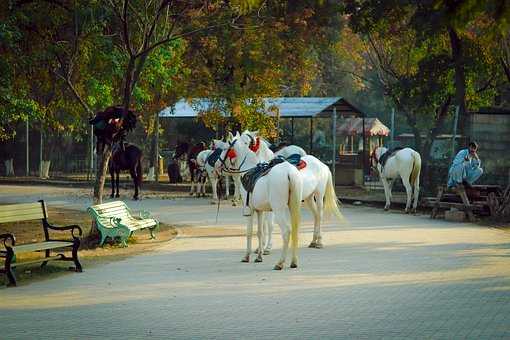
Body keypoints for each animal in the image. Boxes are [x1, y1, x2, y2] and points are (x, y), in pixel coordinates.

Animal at [223, 131, 302, 270]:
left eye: (227, 147)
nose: (221, 164)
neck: (249, 169)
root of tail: (289, 172)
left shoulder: (250, 209)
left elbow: (249, 232)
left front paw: (247, 256)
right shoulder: (260, 211)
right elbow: (260, 232)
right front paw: (259, 256)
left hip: (279, 209)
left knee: (286, 231)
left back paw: (280, 263)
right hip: (294, 206)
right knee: (294, 229)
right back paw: (293, 261)